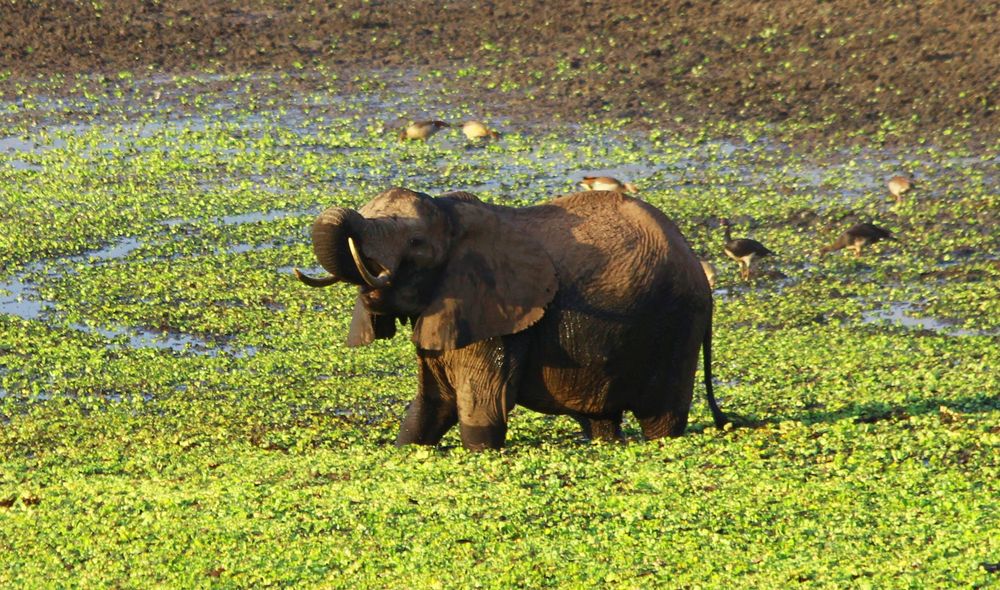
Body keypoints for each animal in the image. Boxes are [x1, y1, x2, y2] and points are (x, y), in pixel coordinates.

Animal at [294, 187, 728, 450]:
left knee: (662, 419)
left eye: (416, 244)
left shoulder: (497, 314)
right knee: (601, 422)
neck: (451, 214)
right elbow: (429, 408)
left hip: (676, 326)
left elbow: (482, 412)